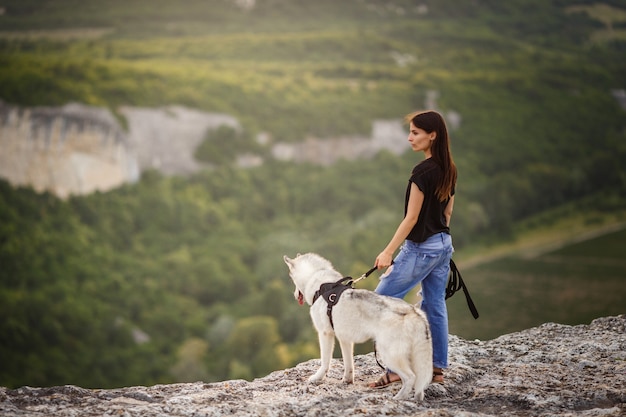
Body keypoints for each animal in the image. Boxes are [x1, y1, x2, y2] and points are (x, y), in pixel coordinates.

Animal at [284, 250, 434, 400]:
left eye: (292, 279)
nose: (294, 295)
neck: (321, 284)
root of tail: (414, 312)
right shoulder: (345, 339)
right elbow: (348, 364)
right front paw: (347, 380)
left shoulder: (325, 334)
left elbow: (325, 362)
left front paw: (317, 378)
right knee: (419, 384)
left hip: (389, 355)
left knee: (410, 378)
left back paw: (397, 399)